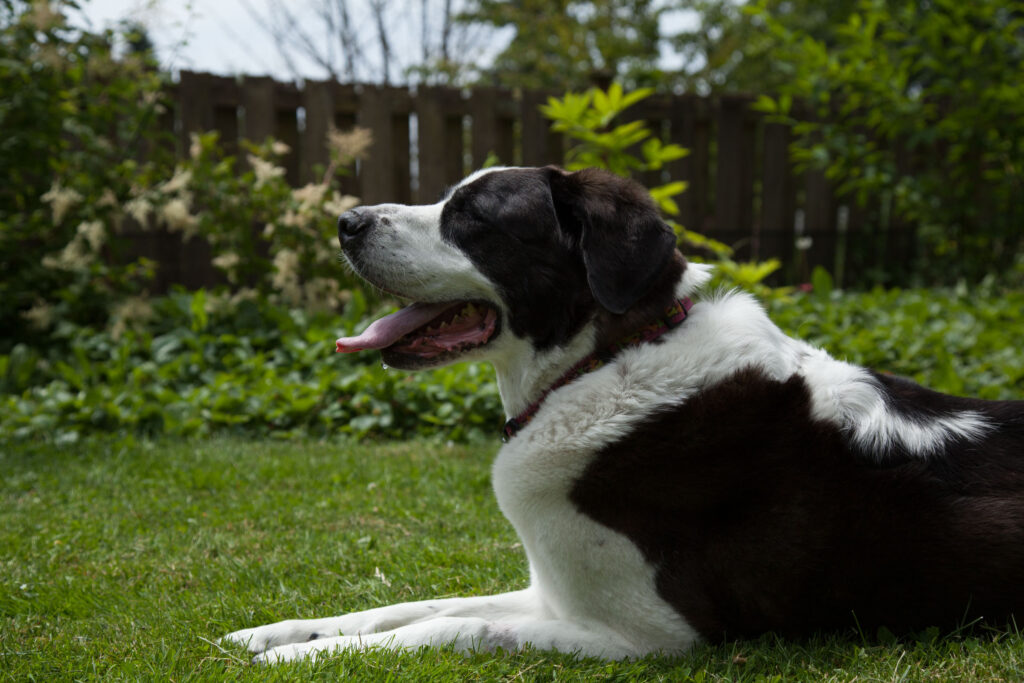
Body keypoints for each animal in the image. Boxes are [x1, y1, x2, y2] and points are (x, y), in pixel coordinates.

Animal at [222, 165, 1024, 663]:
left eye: (472, 218)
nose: (346, 221)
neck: (606, 357)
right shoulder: (551, 591)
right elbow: (416, 606)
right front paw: (282, 634)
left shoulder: (649, 633)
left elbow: (459, 625)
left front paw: (315, 656)